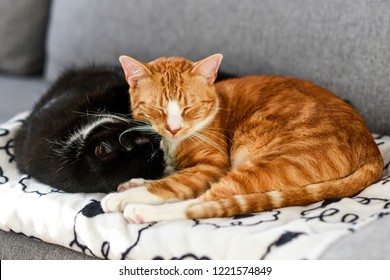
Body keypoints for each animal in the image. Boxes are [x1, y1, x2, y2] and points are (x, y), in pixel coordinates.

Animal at [101, 53, 384, 222]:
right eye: (157, 110)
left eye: (188, 108)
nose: (173, 128)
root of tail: (372, 149)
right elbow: (172, 175)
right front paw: (135, 182)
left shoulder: (212, 166)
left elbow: (173, 185)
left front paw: (127, 195)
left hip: (269, 163)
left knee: (205, 202)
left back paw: (140, 211)